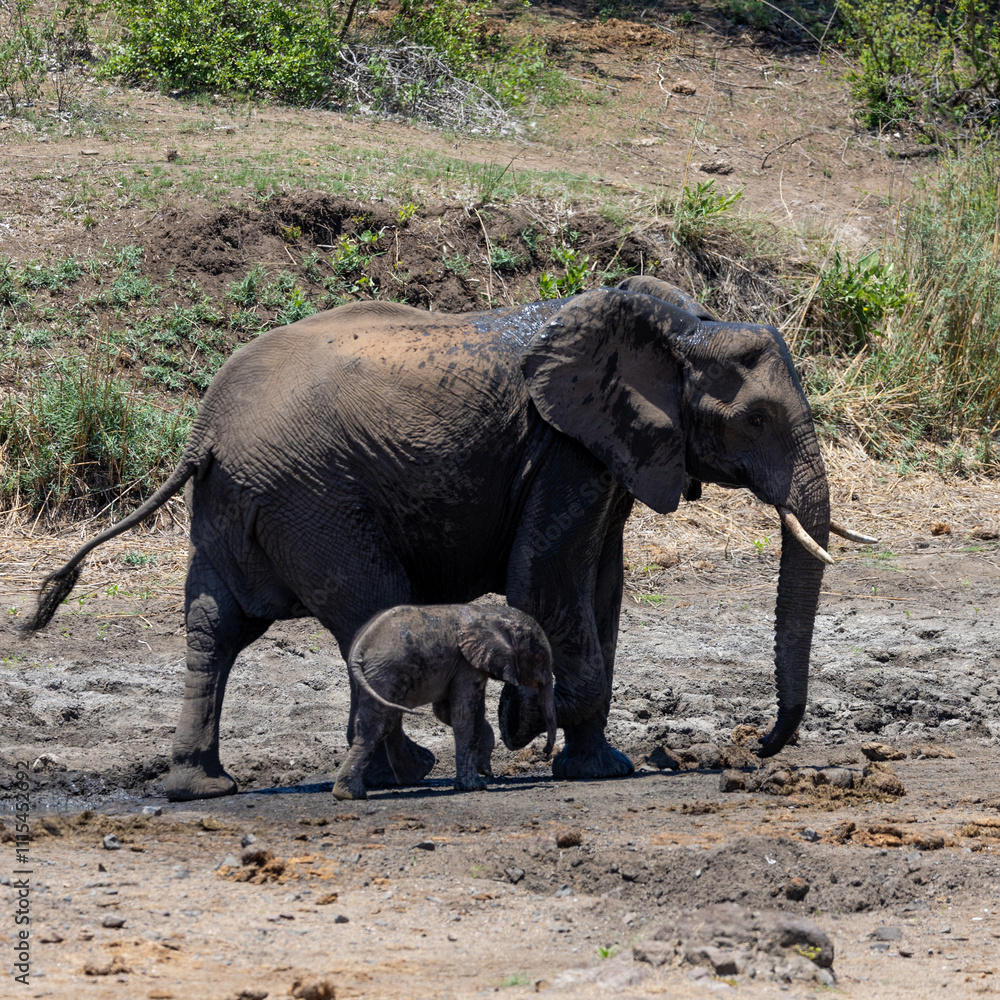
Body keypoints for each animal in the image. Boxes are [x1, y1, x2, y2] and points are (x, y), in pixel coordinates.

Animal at [332, 604, 556, 799]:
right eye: (540, 656)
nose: (545, 753)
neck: (488, 612)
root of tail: (361, 646)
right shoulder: (467, 663)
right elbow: (464, 715)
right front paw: (474, 786)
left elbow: (446, 712)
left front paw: (483, 768)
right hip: (387, 673)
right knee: (380, 723)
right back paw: (351, 793)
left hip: (370, 676)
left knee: (373, 722)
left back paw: (348, 793)